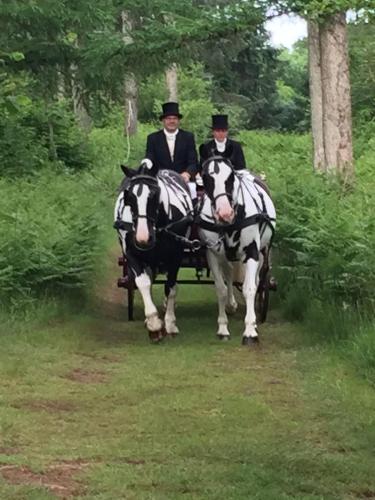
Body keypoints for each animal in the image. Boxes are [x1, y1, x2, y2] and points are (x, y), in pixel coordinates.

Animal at [114, 164, 195, 344]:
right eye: (129, 196)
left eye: (154, 194)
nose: (143, 238)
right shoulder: (131, 254)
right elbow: (143, 283)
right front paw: (154, 325)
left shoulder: (175, 257)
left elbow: (170, 288)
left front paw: (170, 324)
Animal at [197, 158, 276, 346]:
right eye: (206, 177)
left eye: (231, 176)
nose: (225, 213)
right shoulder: (212, 254)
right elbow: (221, 288)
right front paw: (223, 328)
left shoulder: (252, 253)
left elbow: (249, 288)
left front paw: (250, 331)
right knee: (229, 272)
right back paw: (231, 304)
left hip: (262, 251)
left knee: (258, 279)